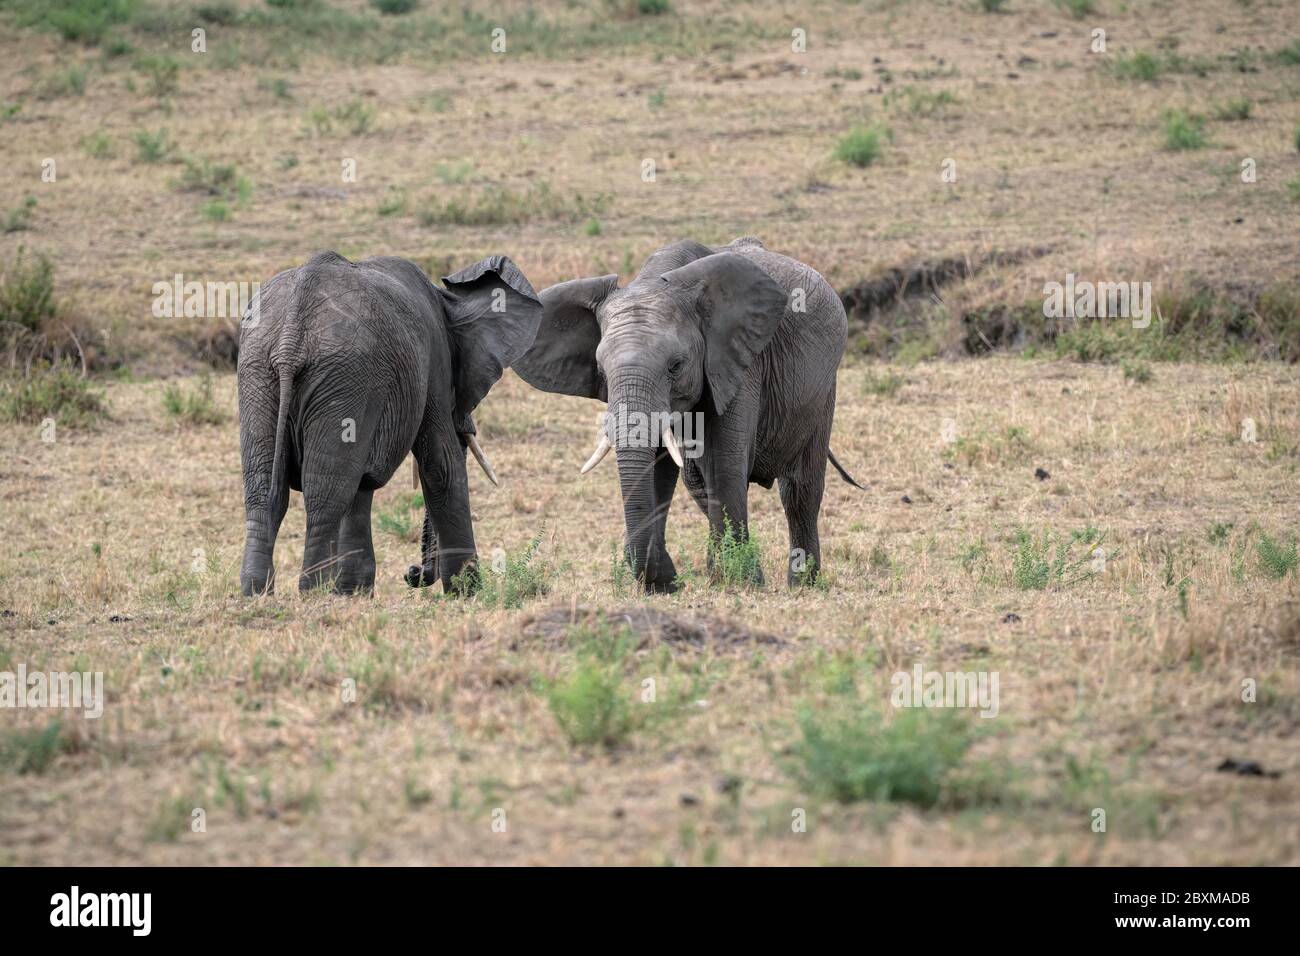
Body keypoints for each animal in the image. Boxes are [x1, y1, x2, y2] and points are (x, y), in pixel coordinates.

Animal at [239, 254, 543, 598]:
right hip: (340, 377)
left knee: (264, 490)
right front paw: (468, 593)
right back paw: (312, 594)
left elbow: (361, 483)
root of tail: (291, 337)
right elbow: (441, 465)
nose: (412, 573)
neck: (446, 299)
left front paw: (353, 594)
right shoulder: (433, 364)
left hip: (259, 373)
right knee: (324, 494)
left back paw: (256, 594)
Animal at [512, 235, 857, 590]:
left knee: (801, 490)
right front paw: (664, 583)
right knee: (697, 481)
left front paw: (740, 582)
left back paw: (803, 583)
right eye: (601, 371)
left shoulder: (737, 364)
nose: (664, 581)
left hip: (823, 390)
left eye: (675, 366)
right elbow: (660, 468)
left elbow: (724, 462)